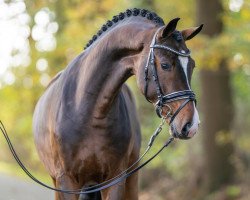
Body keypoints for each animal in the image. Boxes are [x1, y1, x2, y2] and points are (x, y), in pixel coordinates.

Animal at [32, 8, 202, 200]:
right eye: (165, 65)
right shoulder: (66, 181)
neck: (88, 111)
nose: (191, 125)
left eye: (192, 66)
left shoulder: (116, 179)